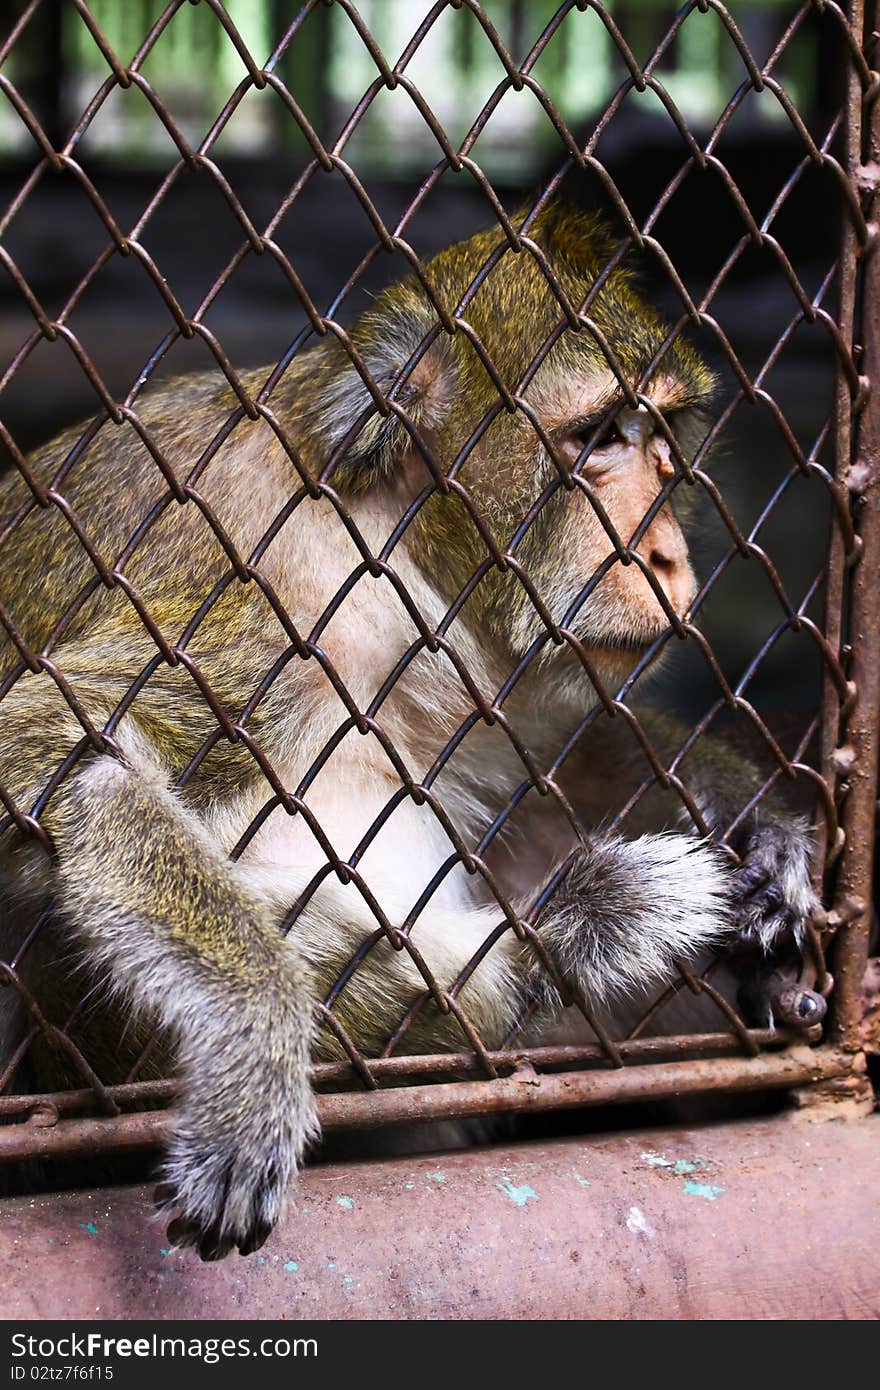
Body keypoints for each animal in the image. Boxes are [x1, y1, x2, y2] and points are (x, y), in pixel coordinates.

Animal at [0, 202, 823, 1262]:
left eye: (661, 435)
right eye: (599, 437)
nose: (667, 555)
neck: (378, 533)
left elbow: (562, 744)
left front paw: (759, 823)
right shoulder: (248, 606)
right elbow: (60, 754)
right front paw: (253, 1032)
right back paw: (565, 940)